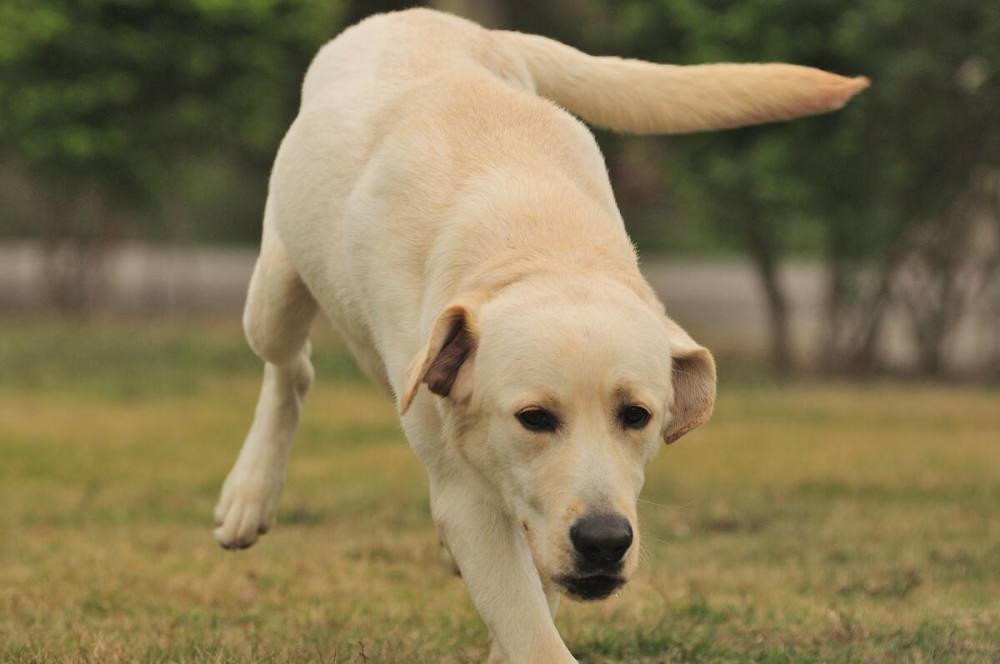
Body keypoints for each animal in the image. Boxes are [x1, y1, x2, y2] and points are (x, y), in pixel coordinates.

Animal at [213, 7, 868, 660]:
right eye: (533, 418)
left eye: (637, 415)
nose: (604, 540)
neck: (541, 247)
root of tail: (438, 19)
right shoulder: (467, 497)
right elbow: (531, 628)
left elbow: (534, 599)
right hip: (275, 293)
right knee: (291, 367)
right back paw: (249, 495)